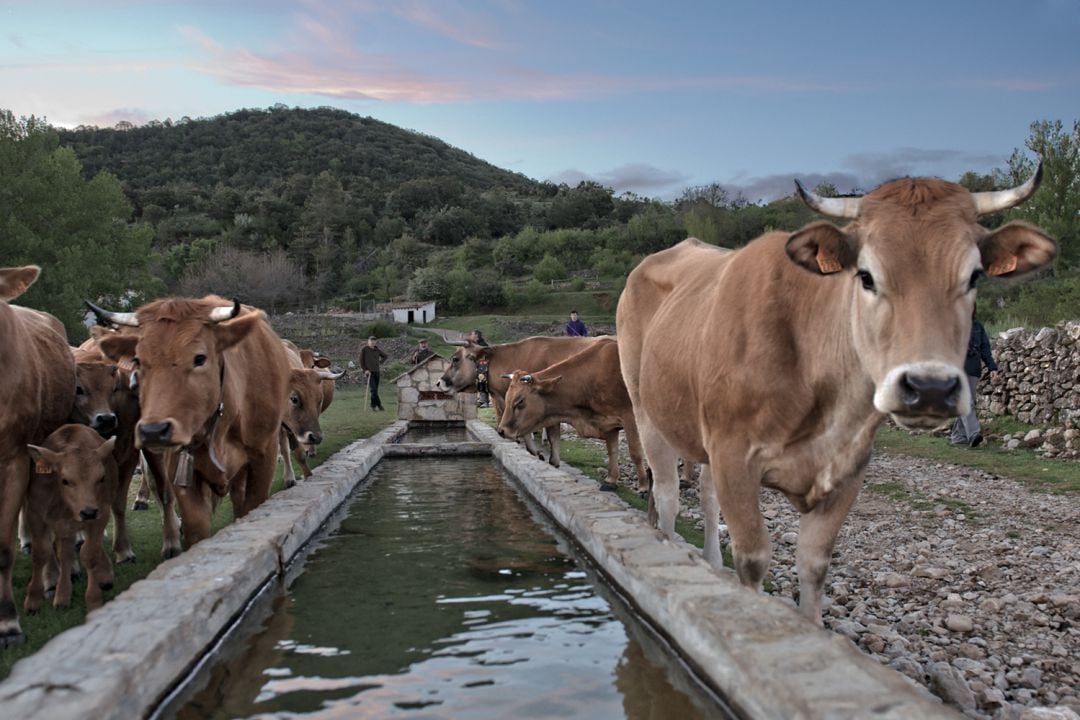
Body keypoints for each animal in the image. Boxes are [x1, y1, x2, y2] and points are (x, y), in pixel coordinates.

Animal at [617, 169, 1054, 626]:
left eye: (973, 276)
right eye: (866, 276)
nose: (930, 387)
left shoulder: (848, 469)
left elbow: (814, 564)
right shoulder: (734, 455)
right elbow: (753, 558)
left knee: (706, 497)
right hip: (645, 407)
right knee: (666, 495)